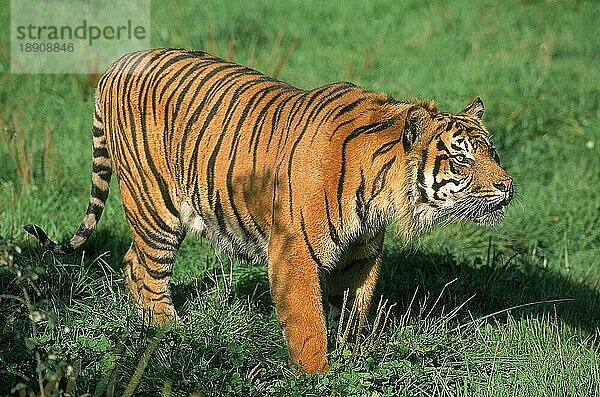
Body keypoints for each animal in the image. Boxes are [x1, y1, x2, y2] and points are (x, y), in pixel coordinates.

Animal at [22, 48, 510, 372]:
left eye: (492, 153)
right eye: (462, 159)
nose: (506, 185)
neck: (382, 190)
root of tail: (118, 63)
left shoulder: (361, 255)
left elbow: (355, 313)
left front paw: (353, 359)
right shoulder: (295, 250)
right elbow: (309, 321)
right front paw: (319, 376)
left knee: (130, 260)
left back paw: (144, 325)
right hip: (155, 203)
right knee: (149, 270)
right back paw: (169, 333)